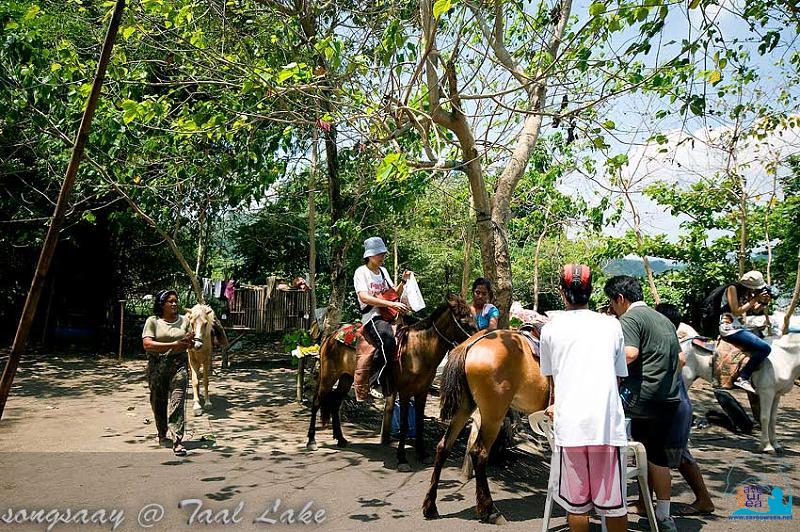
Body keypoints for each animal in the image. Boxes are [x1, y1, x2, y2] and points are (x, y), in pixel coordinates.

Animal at [306, 298, 476, 472]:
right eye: (464, 321)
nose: (477, 339)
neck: (419, 349)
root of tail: (330, 337)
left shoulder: (422, 392)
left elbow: (420, 422)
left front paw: (422, 453)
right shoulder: (405, 392)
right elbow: (404, 424)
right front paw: (402, 459)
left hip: (346, 378)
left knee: (335, 403)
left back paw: (340, 439)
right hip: (328, 376)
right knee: (317, 402)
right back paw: (312, 441)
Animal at [424, 328, 552, 524]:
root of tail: (471, 343)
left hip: (465, 406)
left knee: (443, 446)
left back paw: (430, 506)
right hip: (494, 414)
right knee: (479, 452)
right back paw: (489, 510)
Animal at [680, 320, 800, 454]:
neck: (784, 357)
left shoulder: (776, 394)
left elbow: (773, 419)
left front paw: (776, 445)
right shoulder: (766, 393)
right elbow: (765, 418)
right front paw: (767, 446)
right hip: (686, 379)